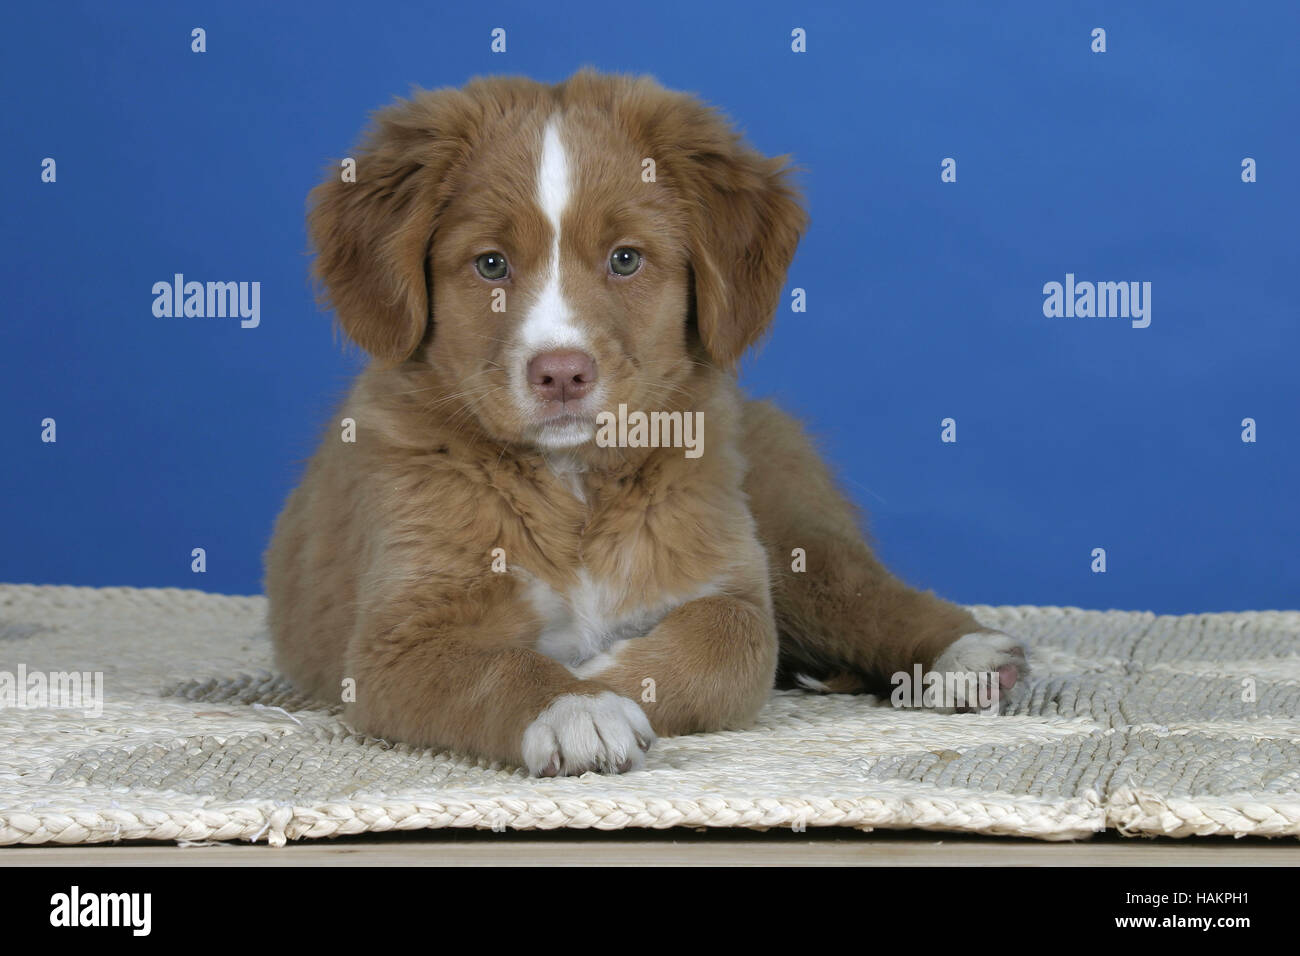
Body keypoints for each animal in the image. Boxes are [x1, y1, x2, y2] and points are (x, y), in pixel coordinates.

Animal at [266, 72, 1024, 780]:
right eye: (490, 264)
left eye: (625, 259)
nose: (561, 373)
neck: (575, 484)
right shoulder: (394, 639)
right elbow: (493, 666)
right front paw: (574, 706)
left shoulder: (730, 573)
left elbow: (735, 643)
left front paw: (602, 677)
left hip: (791, 530)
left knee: (859, 590)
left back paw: (969, 653)